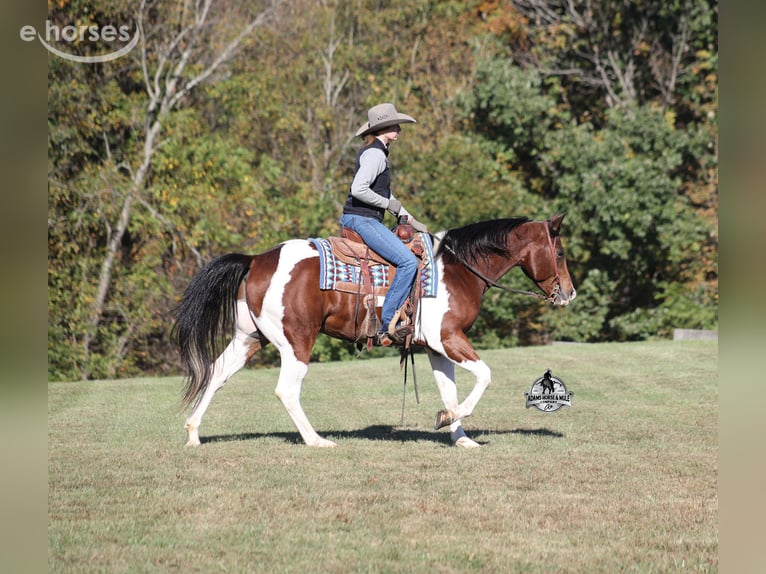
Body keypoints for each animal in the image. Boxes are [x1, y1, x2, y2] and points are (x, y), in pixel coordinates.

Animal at [173, 214, 576, 448]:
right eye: (559, 252)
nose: (569, 293)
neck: (458, 269)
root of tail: (256, 259)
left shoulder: (435, 348)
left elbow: (449, 390)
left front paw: (460, 437)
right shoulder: (448, 338)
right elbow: (485, 376)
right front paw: (449, 419)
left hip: (248, 338)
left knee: (216, 373)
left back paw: (193, 433)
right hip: (297, 341)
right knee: (286, 390)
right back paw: (316, 440)